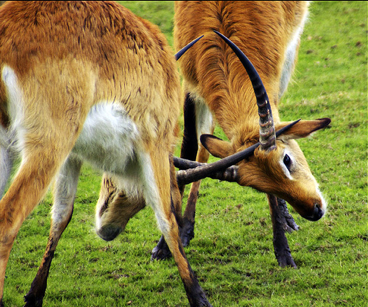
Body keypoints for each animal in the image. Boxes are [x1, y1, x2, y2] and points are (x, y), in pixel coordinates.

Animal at [0, 2, 211, 307]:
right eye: (134, 197)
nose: (109, 232)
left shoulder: (72, 155)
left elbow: (61, 215)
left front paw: (34, 295)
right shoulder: (154, 143)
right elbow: (167, 218)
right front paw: (199, 297)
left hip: (8, 144)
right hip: (47, 147)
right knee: (7, 220)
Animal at [162, 1, 332, 268]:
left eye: (286, 159)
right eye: (259, 186)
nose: (314, 210)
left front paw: (283, 253)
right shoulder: (190, 85)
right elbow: (190, 147)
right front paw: (169, 242)